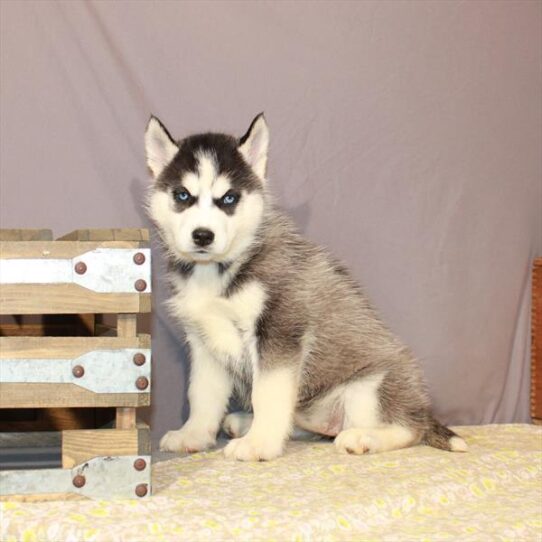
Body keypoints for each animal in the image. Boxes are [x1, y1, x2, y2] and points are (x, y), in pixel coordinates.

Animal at [146, 115, 468, 464]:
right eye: (182, 196)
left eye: (229, 198)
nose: (203, 235)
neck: (218, 272)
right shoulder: (204, 341)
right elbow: (202, 395)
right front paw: (193, 435)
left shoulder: (280, 331)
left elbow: (266, 394)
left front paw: (260, 443)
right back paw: (244, 422)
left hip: (371, 387)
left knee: (408, 429)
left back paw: (363, 437)